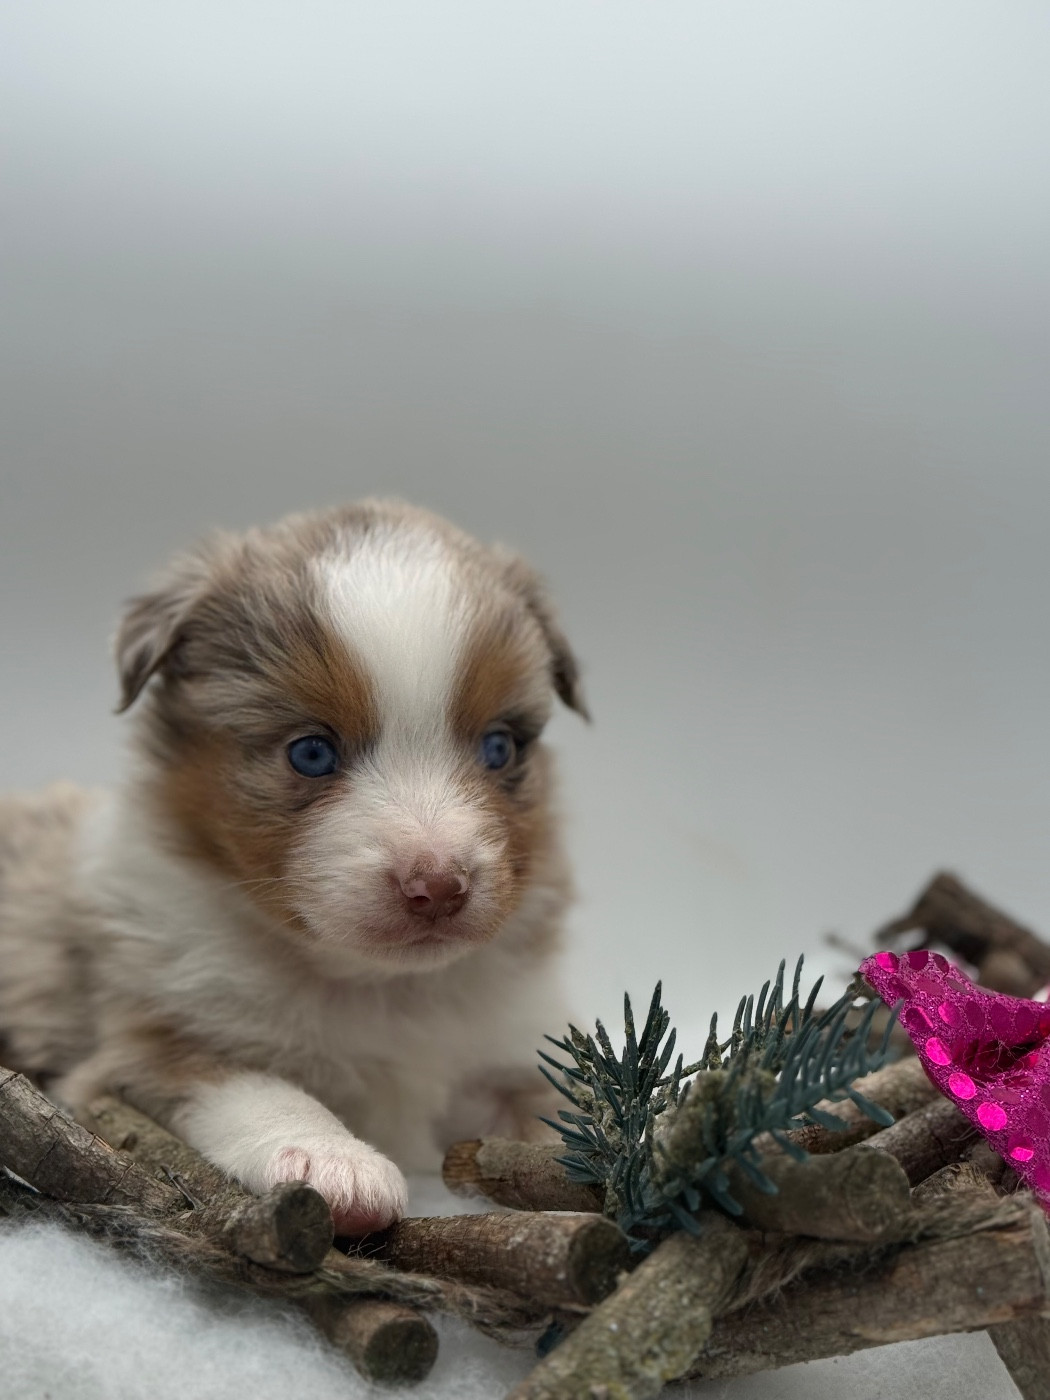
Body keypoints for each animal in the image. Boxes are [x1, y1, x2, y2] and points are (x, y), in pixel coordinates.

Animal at [0, 501, 586, 1232]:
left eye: (500, 747)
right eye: (311, 753)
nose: (439, 887)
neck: (383, 990)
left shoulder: (505, 1050)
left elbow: (560, 1111)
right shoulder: (138, 1051)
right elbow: (254, 1083)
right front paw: (333, 1160)